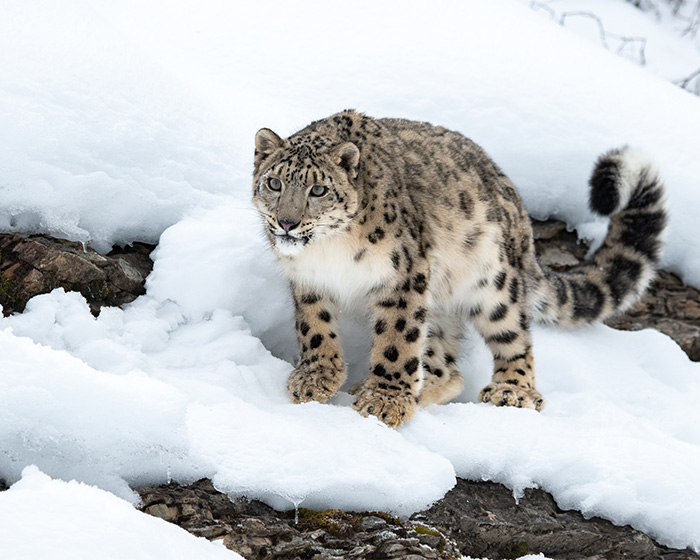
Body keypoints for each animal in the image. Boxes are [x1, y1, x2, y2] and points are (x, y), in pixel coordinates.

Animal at [252, 110, 667, 428]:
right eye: (274, 183)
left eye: (318, 190)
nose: (287, 223)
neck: (328, 251)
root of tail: (521, 216)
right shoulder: (307, 280)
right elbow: (315, 327)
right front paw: (316, 378)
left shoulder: (403, 276)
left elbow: (397, 341)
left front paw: (385, 400)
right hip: (439, 309)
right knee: (447, 369)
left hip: (492, 285)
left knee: (514, 339)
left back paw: (511, 391)